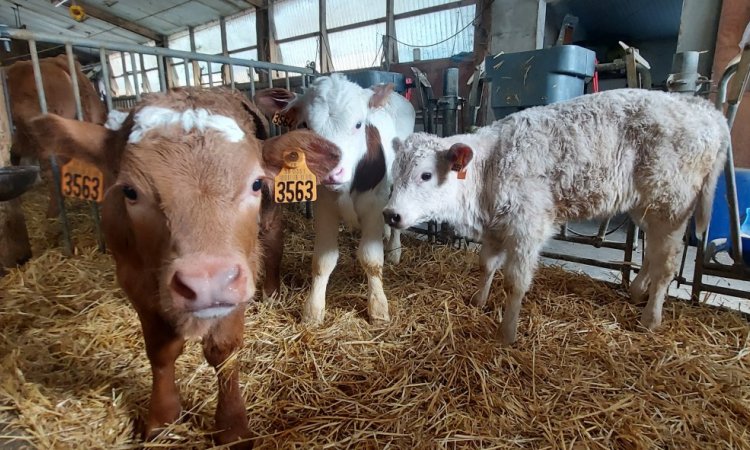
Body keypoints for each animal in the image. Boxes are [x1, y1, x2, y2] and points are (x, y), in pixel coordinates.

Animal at [30, 88, 340, 446]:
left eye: (255, 184)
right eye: (130, 191)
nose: (207, 282)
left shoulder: (239, 274)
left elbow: (223, 350)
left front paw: (232, 426)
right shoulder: (133, 280)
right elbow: (161, 351)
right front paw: (162, 418)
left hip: (270, 220)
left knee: (274, 243)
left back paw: (273, 293)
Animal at [254, 74, 418, 324]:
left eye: (358, 124)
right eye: (305, 126)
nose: (331, 171)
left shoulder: (374, 204)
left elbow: (371, 259)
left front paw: (378, 307)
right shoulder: (324, 205)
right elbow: (323, 260)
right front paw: (313, 310)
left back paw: (394, 250)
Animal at [384, 89, 732, 346]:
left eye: (426, 175)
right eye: (394, 173)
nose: (390, 214)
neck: (491, 167)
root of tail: (704, 108)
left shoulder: (527, 227)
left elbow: (515, 282)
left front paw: (507, 333)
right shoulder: (496, 226)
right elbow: (487, 265)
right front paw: (478, 300)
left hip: (671, 205)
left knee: (667, 264)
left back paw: (650, 318)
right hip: (646, 207)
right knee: (654, 254)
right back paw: (635, 291)